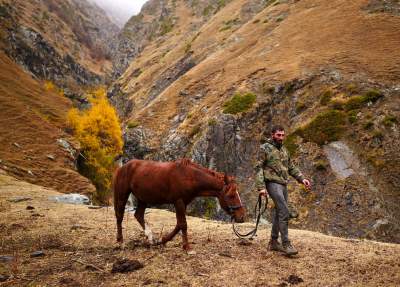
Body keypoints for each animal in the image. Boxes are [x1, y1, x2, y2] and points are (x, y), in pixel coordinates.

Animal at [111, 159, 245, 251]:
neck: (189, 176)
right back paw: (120, 240)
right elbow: (183, 224)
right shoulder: (179, 202)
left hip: (143, 198)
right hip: (123, 196)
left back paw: (151, 238)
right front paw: (187, 247)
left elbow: (178, 225)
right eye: (231, 196)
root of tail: (123, 167)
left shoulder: (183, 203)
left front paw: (163, 240)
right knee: (120, 216)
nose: (242, 216)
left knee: (138, 215)